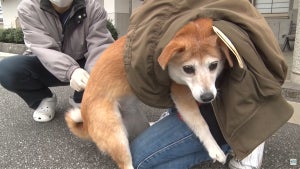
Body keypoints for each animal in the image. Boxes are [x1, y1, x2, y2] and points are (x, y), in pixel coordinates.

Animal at [65, 18, 233, 169]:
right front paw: (214, 148)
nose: (207, 97)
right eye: (188, 69)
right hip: (117, 136)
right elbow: (201, 123)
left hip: (138, 120)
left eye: (213, 65)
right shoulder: (180, 91)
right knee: (125, 164)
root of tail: (86, 122)